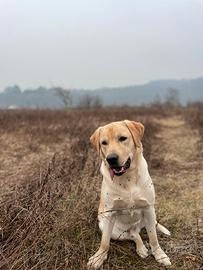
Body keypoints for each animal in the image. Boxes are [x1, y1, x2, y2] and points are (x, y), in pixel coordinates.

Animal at [87, 121, 171, 270]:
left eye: (123, 138)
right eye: (104, 143)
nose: (111, 159)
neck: (128, 178)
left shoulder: (148, 209)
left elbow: (153, 238)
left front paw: (160, 255)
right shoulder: (109, 214)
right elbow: (104, 242)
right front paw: (99, 257)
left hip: (147, 218)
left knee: (144, 230)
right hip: (109, 228)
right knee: (133, 235)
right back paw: (141, 248)